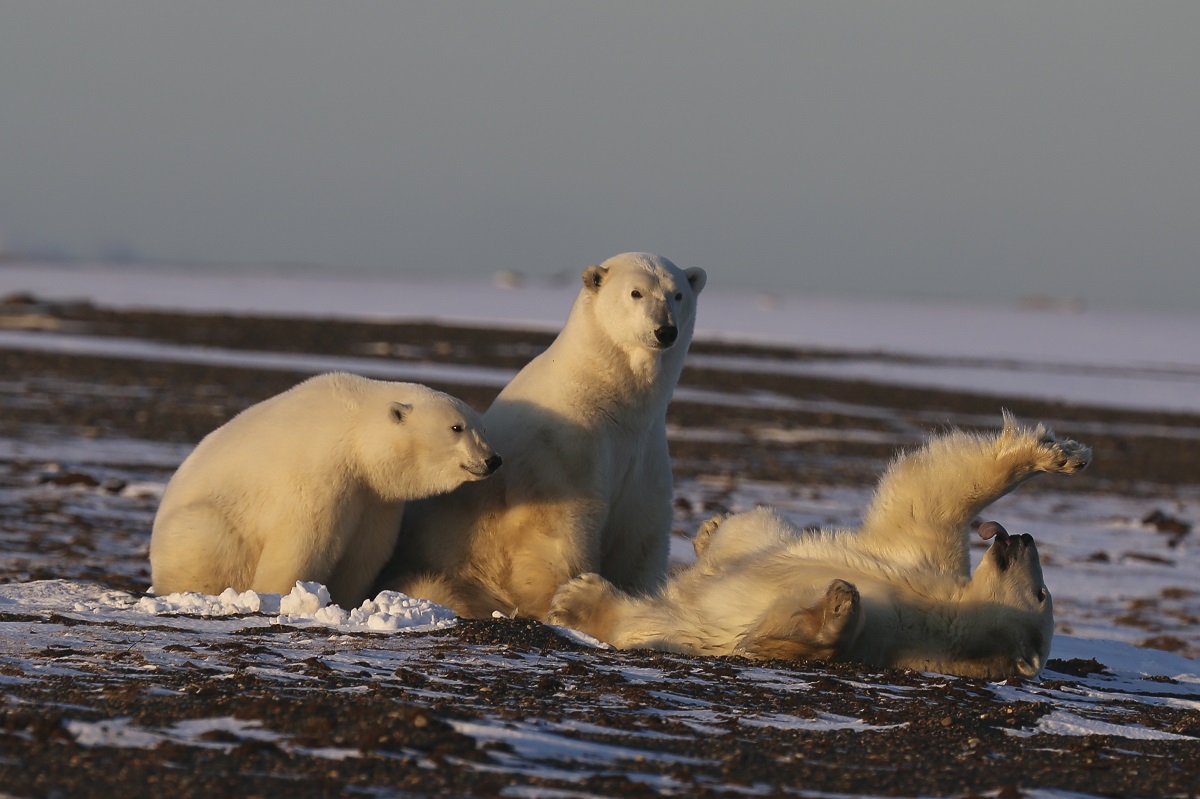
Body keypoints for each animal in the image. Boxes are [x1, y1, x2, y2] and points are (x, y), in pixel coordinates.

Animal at [149, 372, 501, 608]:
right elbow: (303, 544)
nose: (492, 460)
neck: (354, 436)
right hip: (207, 523)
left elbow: (365, 552)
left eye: (484, 428)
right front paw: (281, 595)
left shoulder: (373, 498)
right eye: (456, 428)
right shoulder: (318, 474)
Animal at [381, 252, 707, 619]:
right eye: (636, 292)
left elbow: (639, 526)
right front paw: (563, 602)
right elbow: (558, 522)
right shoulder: (562, 445)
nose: (665, 330)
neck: (608, 396)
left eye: (677, 294)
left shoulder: (643, 450)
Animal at [548, 412, 1091, 680]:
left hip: (686, 625)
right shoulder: (922, 560)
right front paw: (1060, 454)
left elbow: (787, 639)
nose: (1023, 538)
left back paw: (577, 598)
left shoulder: (894, 639)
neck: (946, 613)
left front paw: (839, 602)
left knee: (647, 619)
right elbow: (933, 496)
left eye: (1041, 595)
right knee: (749, 530)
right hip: (763, 536)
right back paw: (709, 530)